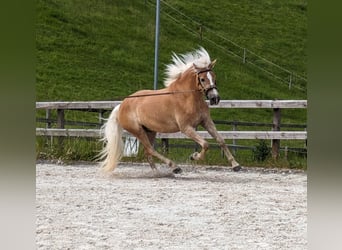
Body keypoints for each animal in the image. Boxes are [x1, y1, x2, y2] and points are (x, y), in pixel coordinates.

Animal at [100, 47, 242, 173]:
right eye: (202, 79)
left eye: (214, 77)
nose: (215, 98)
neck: (188, 97)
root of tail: (122, 105)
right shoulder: (186, 128)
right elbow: (206, 144)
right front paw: (194, 156)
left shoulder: (206, 122)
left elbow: (221, 140)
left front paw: (236, 165)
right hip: (138, 131)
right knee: (150, 150)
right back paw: (174, 167)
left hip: (150, 131)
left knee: (148, 152)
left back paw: (157, 172)